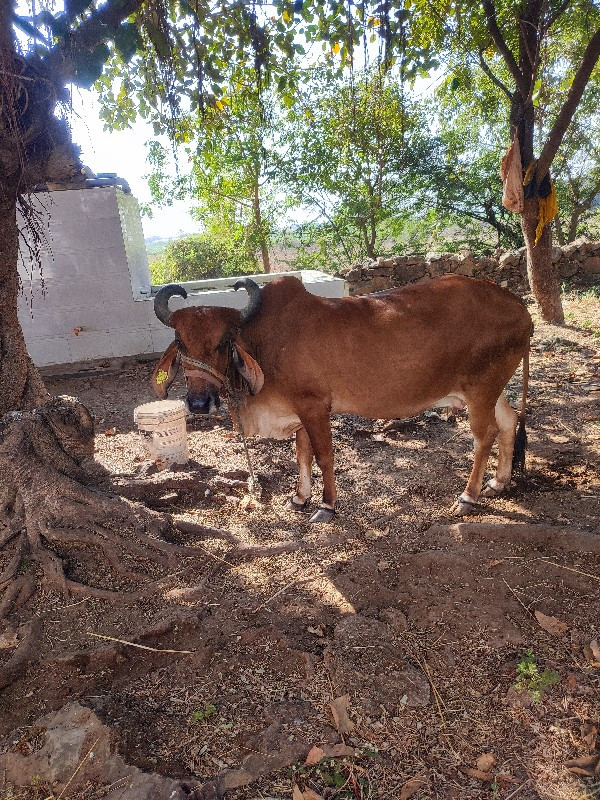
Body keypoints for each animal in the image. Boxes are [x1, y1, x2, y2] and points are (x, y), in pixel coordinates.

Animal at [151, 276, 528, 524]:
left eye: (222, 342)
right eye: (181, 342)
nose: (199, 403)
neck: (262, 340)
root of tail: (520, 307)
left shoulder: (314, 406)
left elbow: (323, 456)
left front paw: (326, 505)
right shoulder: (298, 412)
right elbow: (301, 456)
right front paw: (299, 497)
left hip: (480, 389)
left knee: (484, 436)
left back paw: (468, 496)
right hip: (493, 390)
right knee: (509, 422)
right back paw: (499, 481)